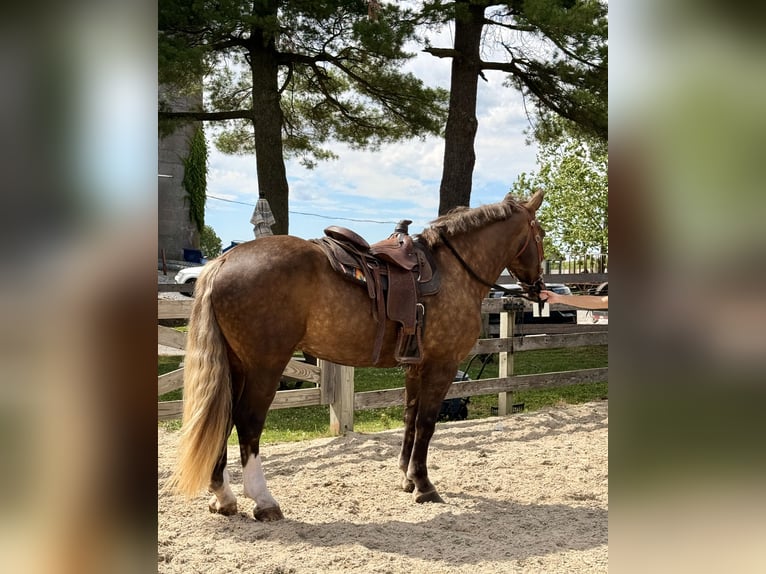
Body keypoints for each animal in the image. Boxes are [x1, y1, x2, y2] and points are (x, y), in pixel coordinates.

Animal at [168, 190, 546, 521]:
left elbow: (410, 418)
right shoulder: (442, 365)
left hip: (236, 365)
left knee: (224, 418)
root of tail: (223, 261)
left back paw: (223, 496)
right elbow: (426, 423)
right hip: (265, 366)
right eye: (540, 234)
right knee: (247, 422)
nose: (539, 288)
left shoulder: (415, 366)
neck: (454, 270)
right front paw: (424, 485)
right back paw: (263, 500)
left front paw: (407, 479)